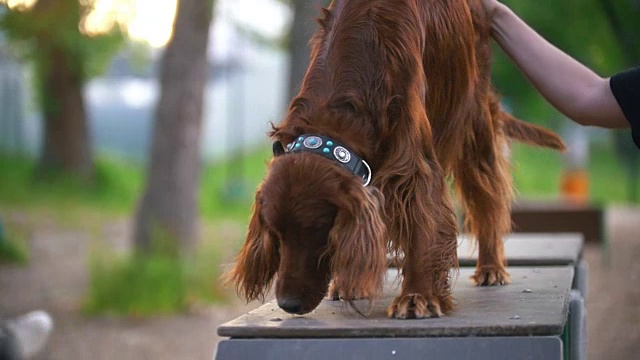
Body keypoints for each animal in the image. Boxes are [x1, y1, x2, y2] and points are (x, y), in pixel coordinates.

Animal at [226, 0, 564, 320]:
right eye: (277, 232)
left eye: (319, 229)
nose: (288, 303)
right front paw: (349, 283)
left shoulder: (412, 163)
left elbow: (421, 225)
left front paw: (417, 296)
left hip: (474, 123)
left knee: (488, 198)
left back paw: (491, 267)